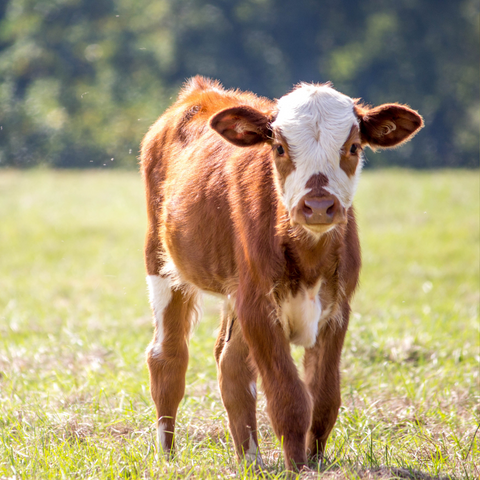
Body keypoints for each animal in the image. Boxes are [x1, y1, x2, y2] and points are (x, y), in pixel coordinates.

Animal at [140, 77, 424, 470]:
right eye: (278, 147)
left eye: (353, 147)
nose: (318, 206)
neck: (309, 257)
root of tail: (201, 92)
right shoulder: (258, 306)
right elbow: (288, 397)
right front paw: (298, 467)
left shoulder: (337, 308)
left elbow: (323, 397)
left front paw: (315, 462)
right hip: (162, 261)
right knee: (168, 358)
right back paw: (168, 456)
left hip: (234, 293)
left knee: (230, 364)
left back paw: (251, 460)